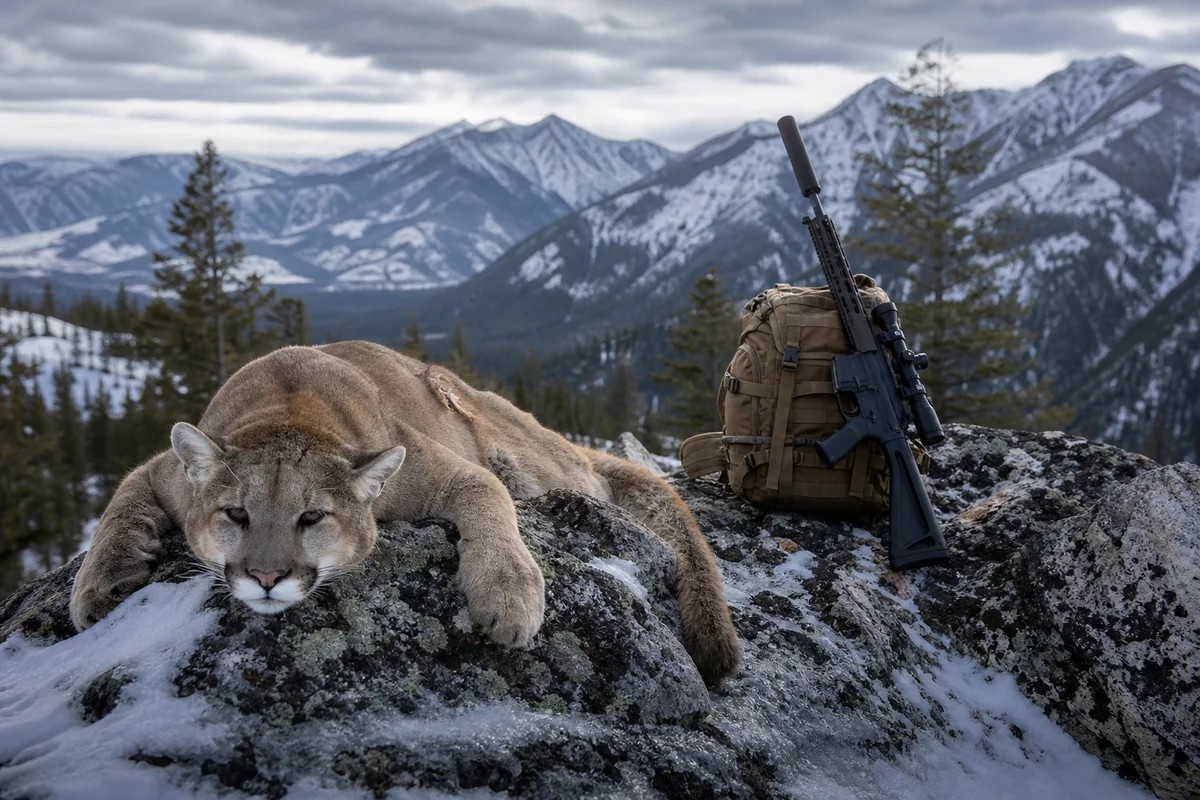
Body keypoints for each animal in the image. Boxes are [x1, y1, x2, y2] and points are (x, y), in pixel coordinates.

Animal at [69, 341, 741, 684]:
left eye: (312, 518)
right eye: (236, 514)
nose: (265, 578)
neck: (288, 411)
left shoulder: (449, 469)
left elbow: (490, 504)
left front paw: (508, 593)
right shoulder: (165, 471)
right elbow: (119, 501)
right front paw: (102, 582)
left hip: (530, 459)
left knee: (583, 480)